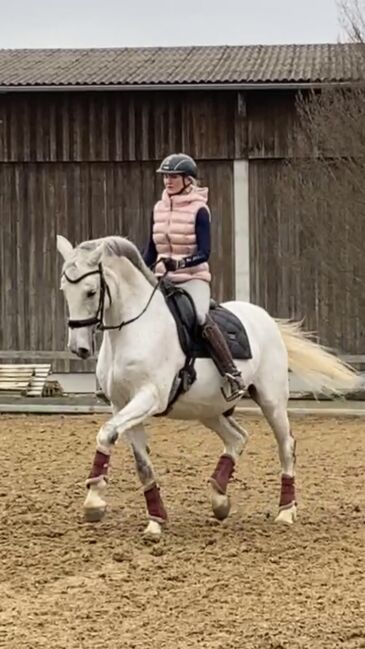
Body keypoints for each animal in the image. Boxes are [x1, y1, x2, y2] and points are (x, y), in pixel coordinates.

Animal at [56, 235, 358, 540]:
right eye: (64, 291)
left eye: (91, 292)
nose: (79, 348)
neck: (133, 328)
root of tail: (264, 318)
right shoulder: (122, 405)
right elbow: (141, 463)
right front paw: (154, 520)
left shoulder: (148, 397)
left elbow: (106, 433)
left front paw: (94, 501)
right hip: (208, 409)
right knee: (237, 437)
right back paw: (219, 499)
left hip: (271, 401)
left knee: (286, 445)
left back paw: (285, 511)